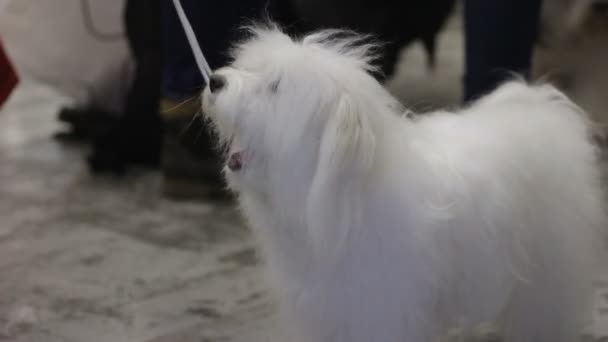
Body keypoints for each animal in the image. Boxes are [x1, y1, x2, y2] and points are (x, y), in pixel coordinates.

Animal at [203, 25, 604, 340]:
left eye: (275, 86)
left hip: (547, 270)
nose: (214, 80)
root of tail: (541, 105)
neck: (340, 201)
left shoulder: (384, 309)